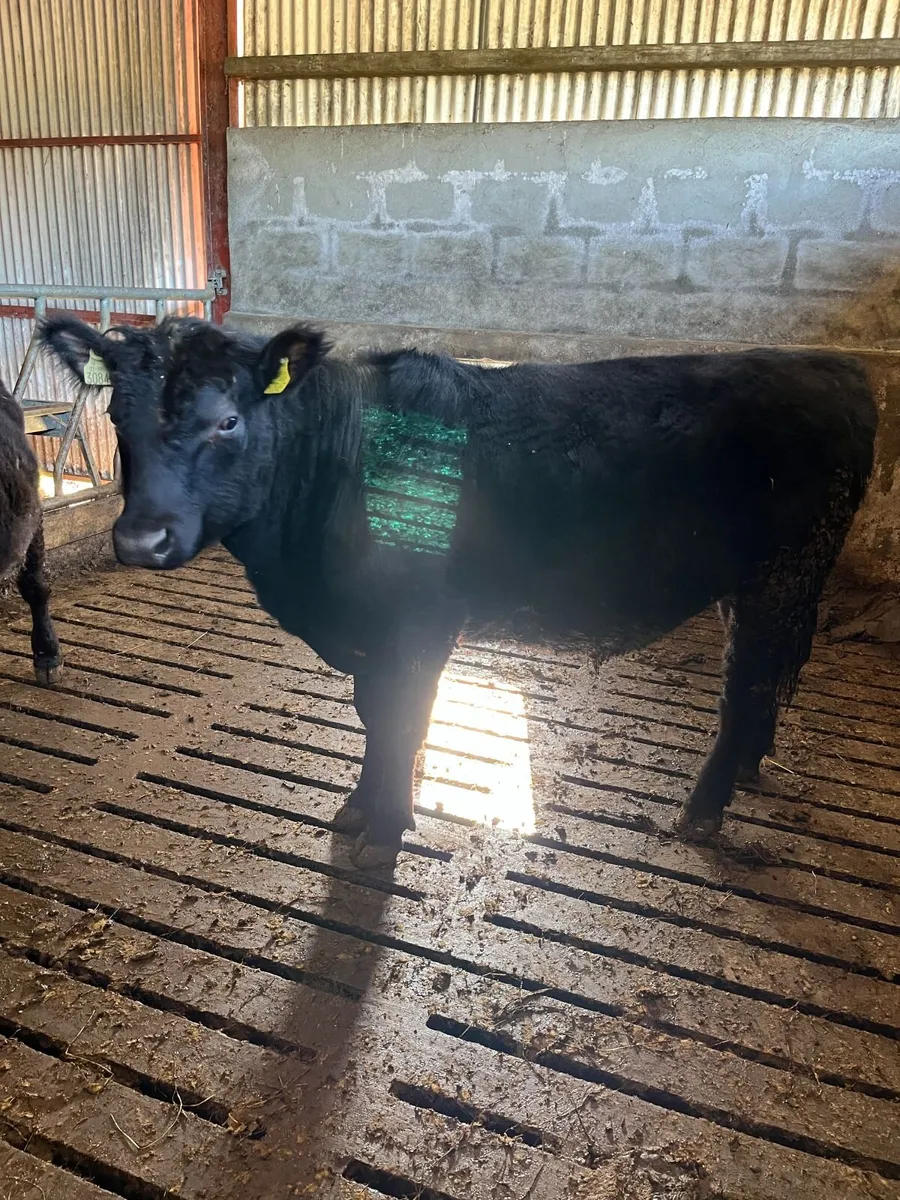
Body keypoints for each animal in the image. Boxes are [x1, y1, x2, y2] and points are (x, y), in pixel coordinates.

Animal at [42, 316, 876, 869]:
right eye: (116, 415)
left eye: (228, 420)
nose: (139, 540)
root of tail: (837, 370)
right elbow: (375, 718)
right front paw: (361, 807)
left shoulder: (418, 624)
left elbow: (399, 720)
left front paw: (384, 828)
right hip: (761, 584)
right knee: (765, 679)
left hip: (781, 573)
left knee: (745, 687)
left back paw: (700, 814)